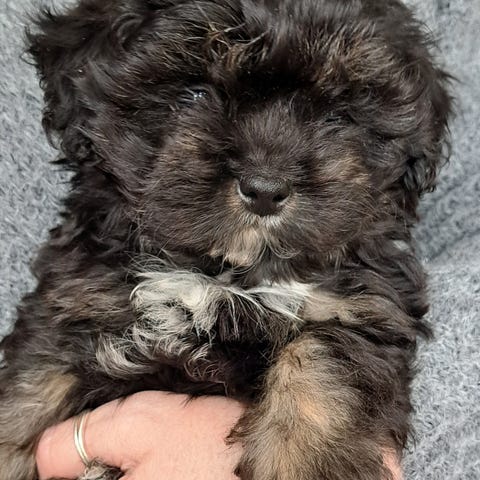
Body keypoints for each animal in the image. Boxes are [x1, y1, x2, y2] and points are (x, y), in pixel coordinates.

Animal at [0, 0, 451, 479]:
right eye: (195, 94)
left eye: (336, 115)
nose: (265, 188)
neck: (226, 271)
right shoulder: (74, 303)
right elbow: (27, 394)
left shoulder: (362, 305)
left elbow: (325, 361)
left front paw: (309, 462)